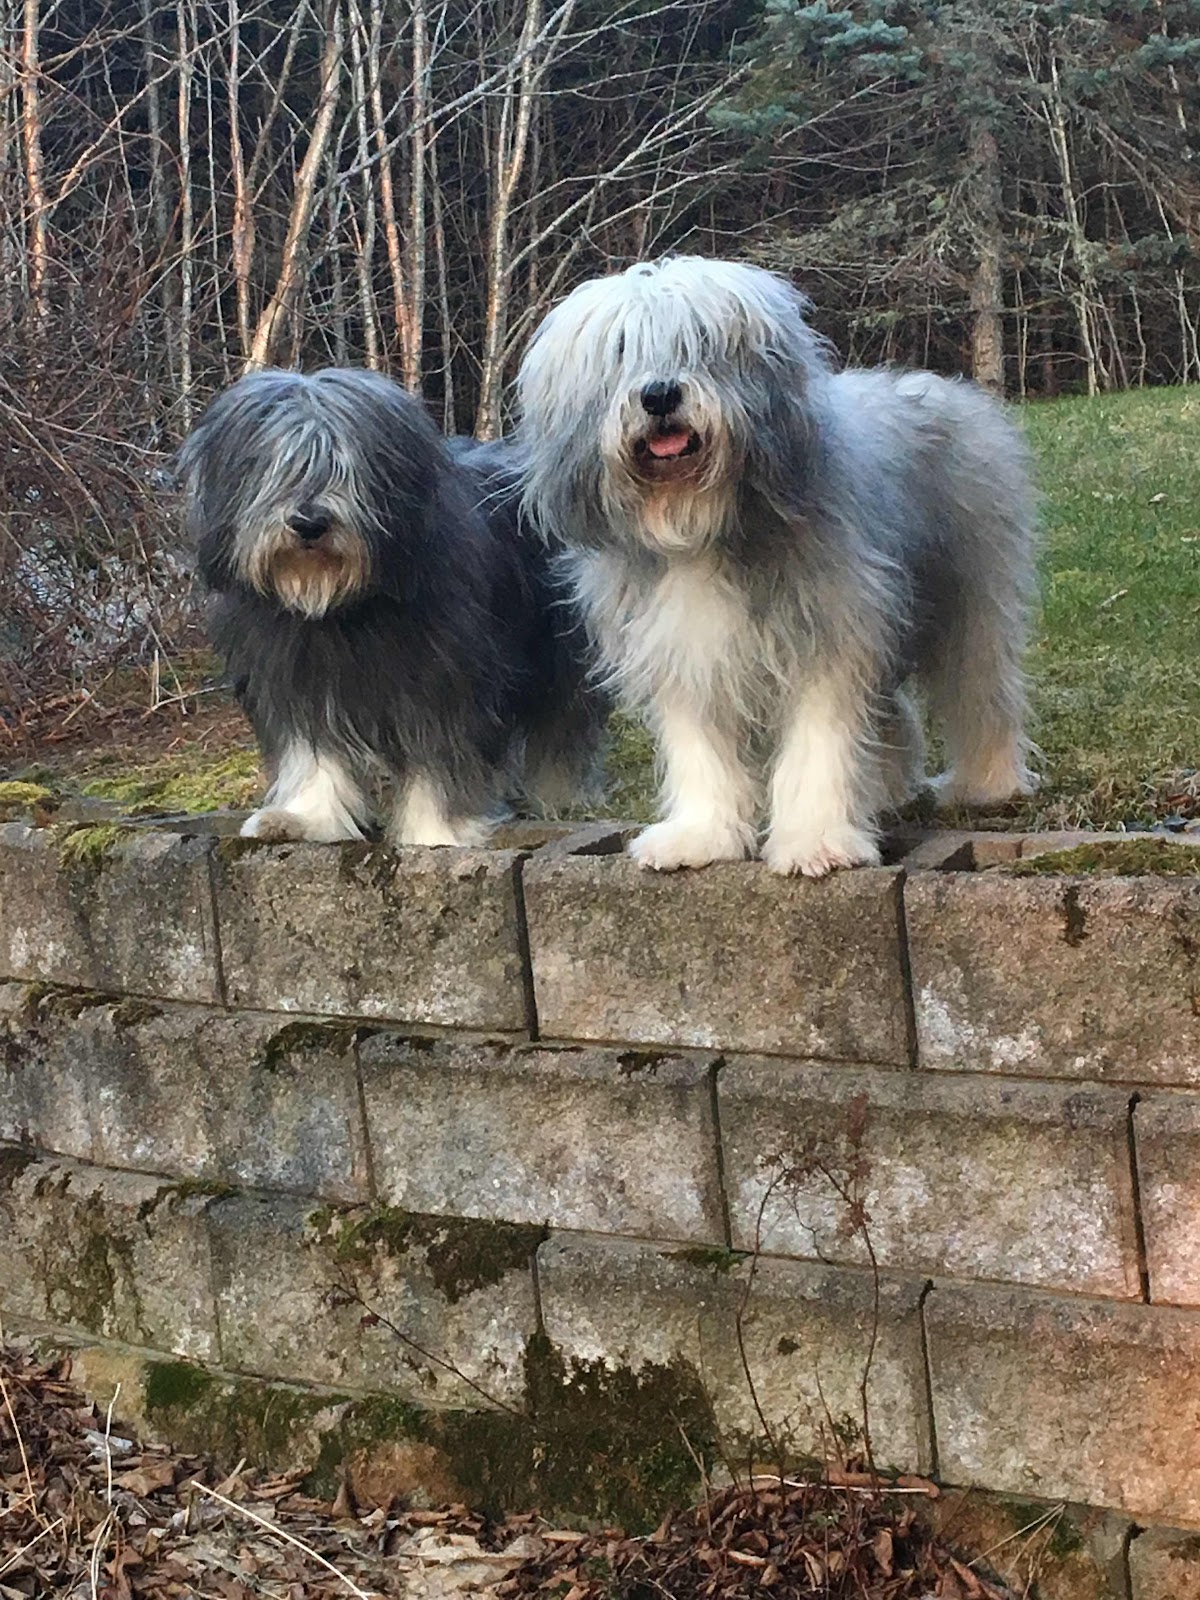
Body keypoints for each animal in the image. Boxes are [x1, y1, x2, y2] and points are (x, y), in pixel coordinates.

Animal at [176, 366, 604, 845]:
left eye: (342, 466)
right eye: (276, 466)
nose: (308, 523)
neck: (337, 609)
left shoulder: (444, 678)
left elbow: (441, 758)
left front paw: (436, 833)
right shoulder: (294, 680)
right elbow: (311, 756)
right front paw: (304, 817)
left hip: (559, 645)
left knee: (563, 723)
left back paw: (560, 796)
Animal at [515, 255, 1037, 877]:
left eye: (701, 340)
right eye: (622, 348)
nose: (660, 394)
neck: (700, 527)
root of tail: (941, 384)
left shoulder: (829, 631)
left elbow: (819, 743)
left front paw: (817, 841)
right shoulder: (683, 649)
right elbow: (701, 749)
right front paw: (700, 836)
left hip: (969, 594)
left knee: (981, 687)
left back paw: (989, 784)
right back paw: (887, 790)